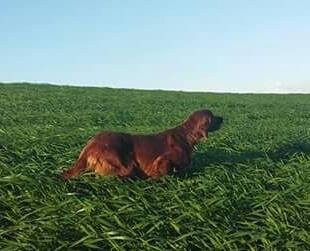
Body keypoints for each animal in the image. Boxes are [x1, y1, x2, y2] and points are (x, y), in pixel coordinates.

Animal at [61, 110, 224, 180]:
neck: (186, 137)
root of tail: (89, 146)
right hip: (125, 165)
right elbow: (164, 173)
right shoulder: (161, 160)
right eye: (212, 117)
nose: (223, 118)